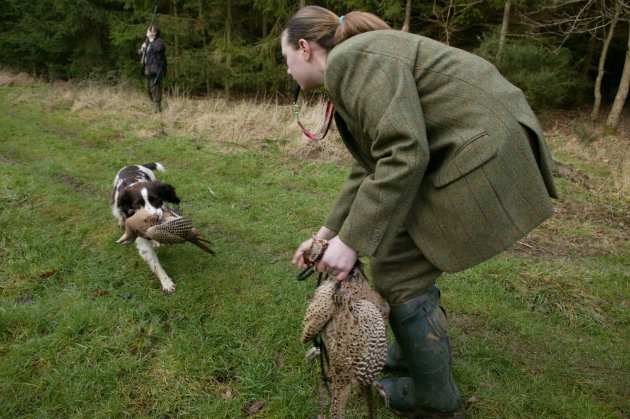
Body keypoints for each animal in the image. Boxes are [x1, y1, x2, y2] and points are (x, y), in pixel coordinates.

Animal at [110, 162, 180, 294]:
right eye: (138, 204)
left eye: (156, 200)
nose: (155, 217)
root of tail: (133, 165)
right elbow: (155, 264)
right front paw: (166, 282)